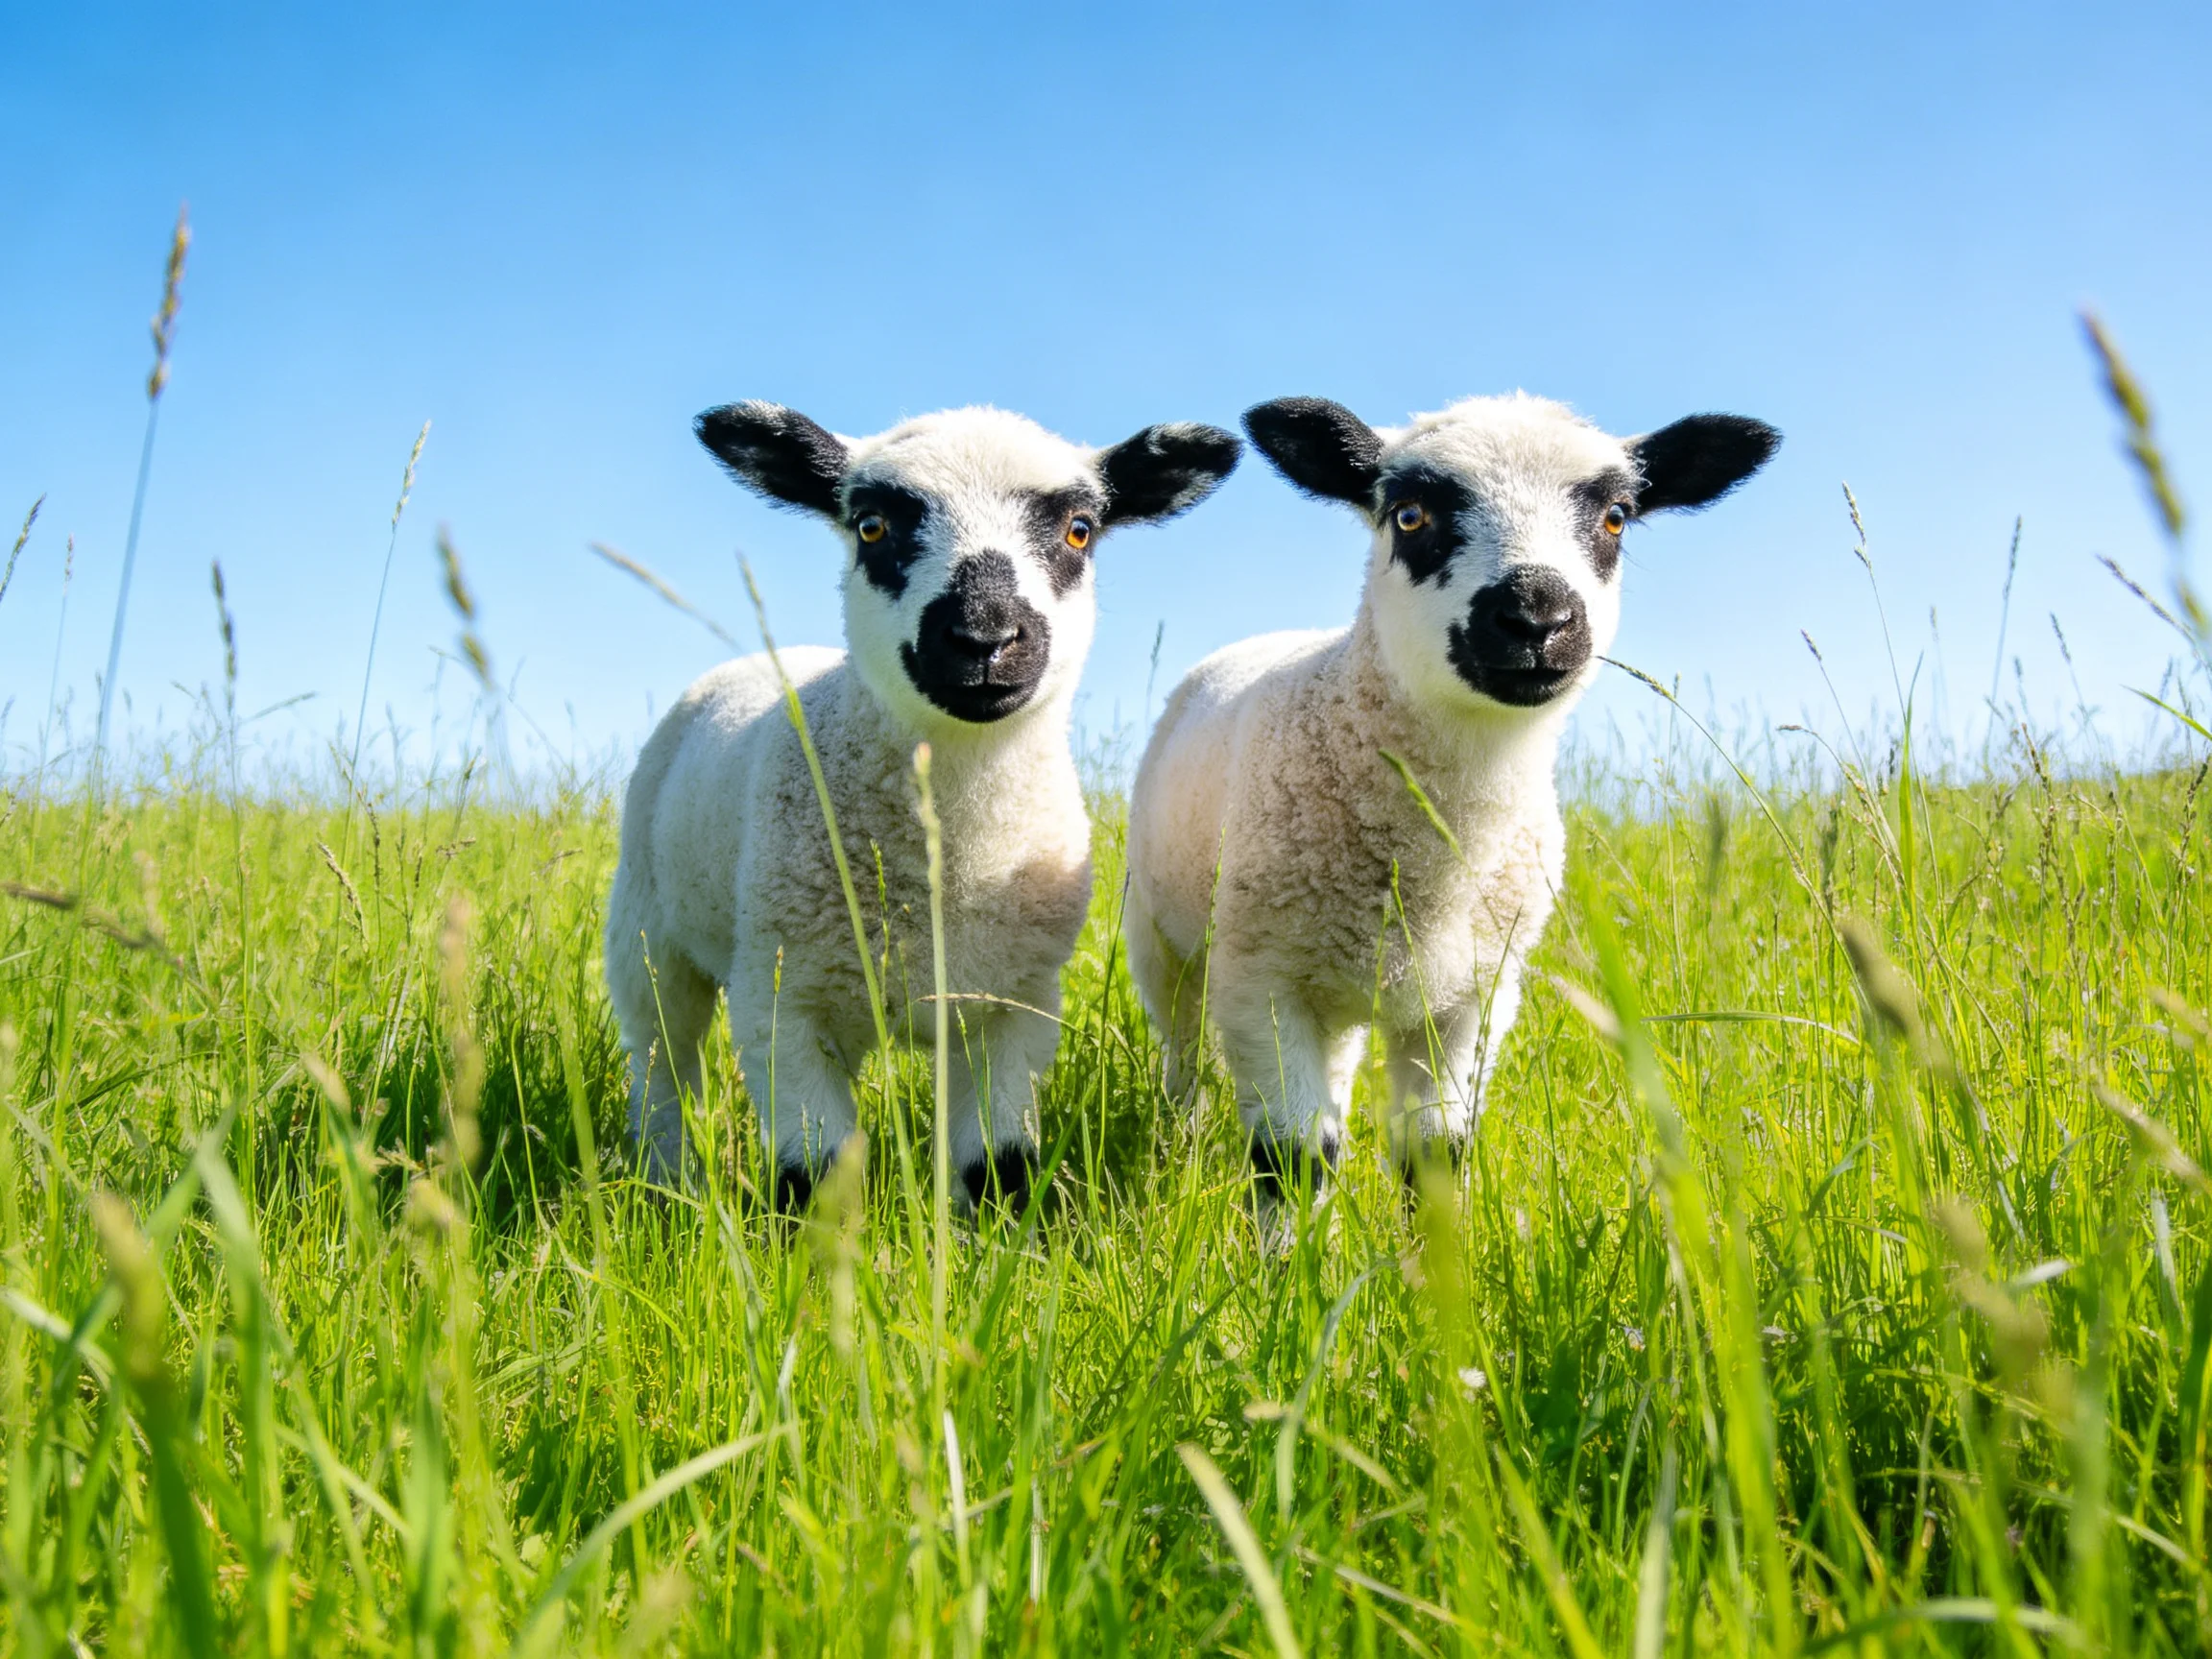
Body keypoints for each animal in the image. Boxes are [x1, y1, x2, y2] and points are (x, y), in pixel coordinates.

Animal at [606, 401, 1240, 1210]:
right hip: (648, 931)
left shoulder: (1014, 1007)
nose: (984, 638)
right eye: (872, 525)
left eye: (1079, 529)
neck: (946, 866)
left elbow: (998, 1166)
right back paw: (666, 1183)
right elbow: (813, 1178)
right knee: (662, 1060)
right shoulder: (780, 1005)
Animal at [1124, 392, 1778, 1197]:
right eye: (1410, 516)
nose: (1537, 616)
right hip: (1162, 941)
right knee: (1182, 1056)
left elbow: (1433, 1155)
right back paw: (1176, 1147)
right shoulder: (1260, 980)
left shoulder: (1474, 1000)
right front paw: (1289, 1230)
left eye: (1617, 517)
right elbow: (1291, 1159)